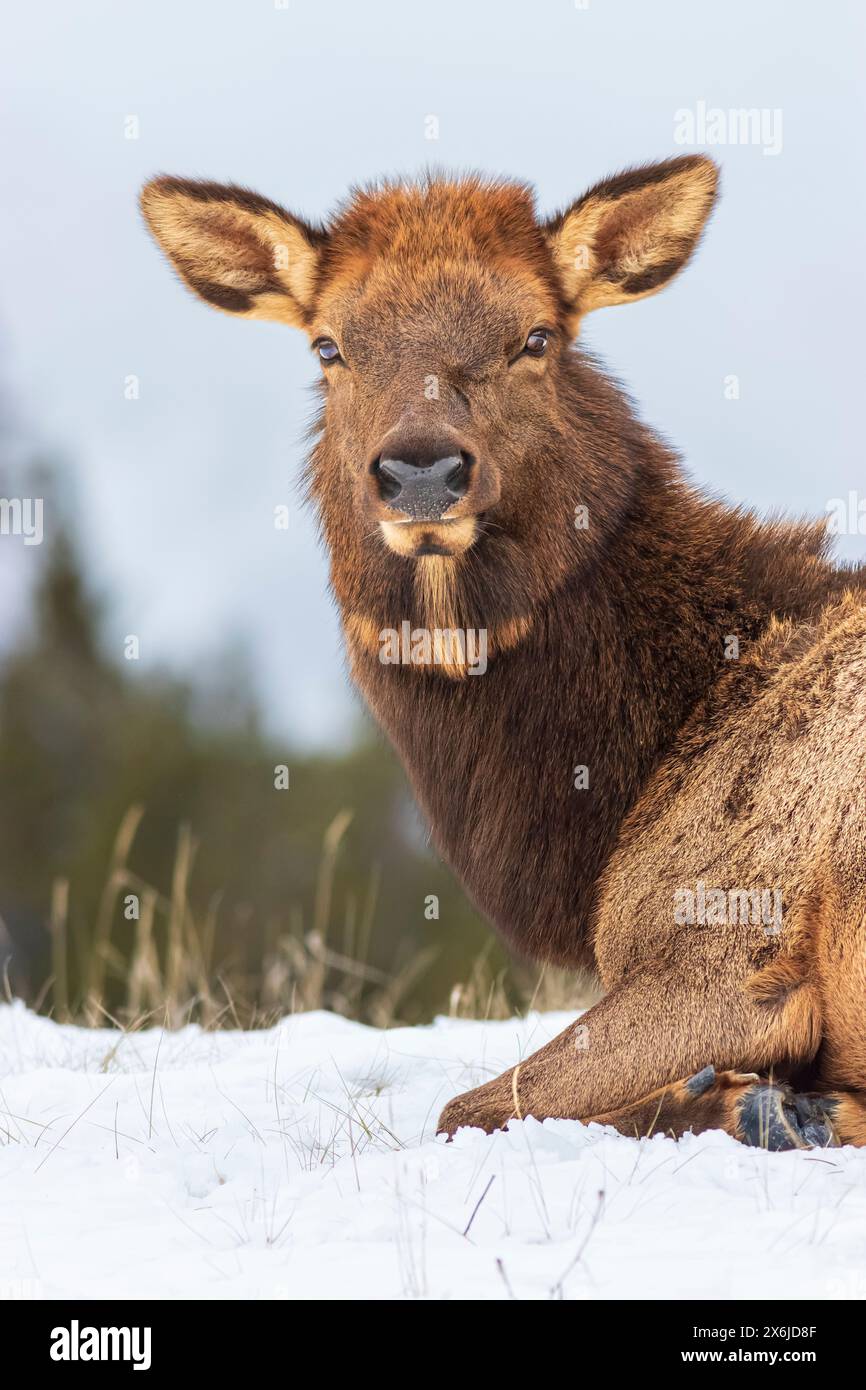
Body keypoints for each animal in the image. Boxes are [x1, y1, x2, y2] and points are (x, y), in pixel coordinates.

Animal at [142, 154, 866, 1150]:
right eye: (329, 346)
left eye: (536, 336)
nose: (420, 470)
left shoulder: (718, 936)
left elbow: (468, 1108)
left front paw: (749, 1100)